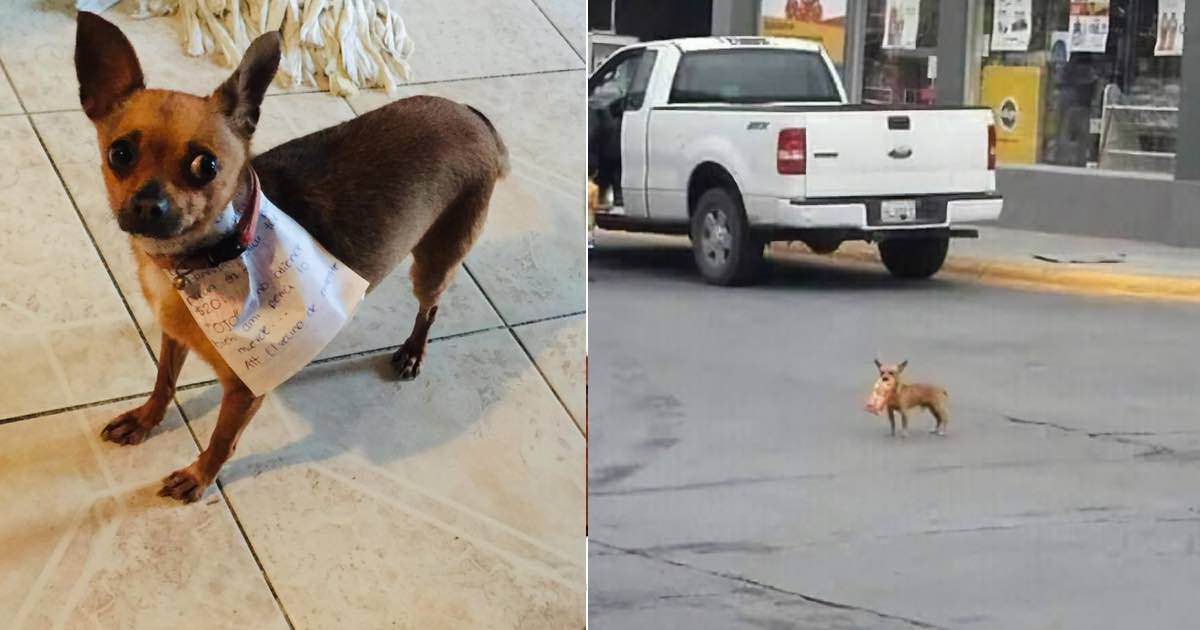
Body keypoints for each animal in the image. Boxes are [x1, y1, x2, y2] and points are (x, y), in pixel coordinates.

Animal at [75, 12, 506, 501]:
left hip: (435, 260)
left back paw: (413, 351)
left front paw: (199, 476)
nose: (149, 205)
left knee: (430, 307)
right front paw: (146, 420)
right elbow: (164, 381)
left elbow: (221, 440)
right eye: (120, 154)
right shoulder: (174, 335)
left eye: (206, 166)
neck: (208, 257)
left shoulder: (245, 390)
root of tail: (473, 116)